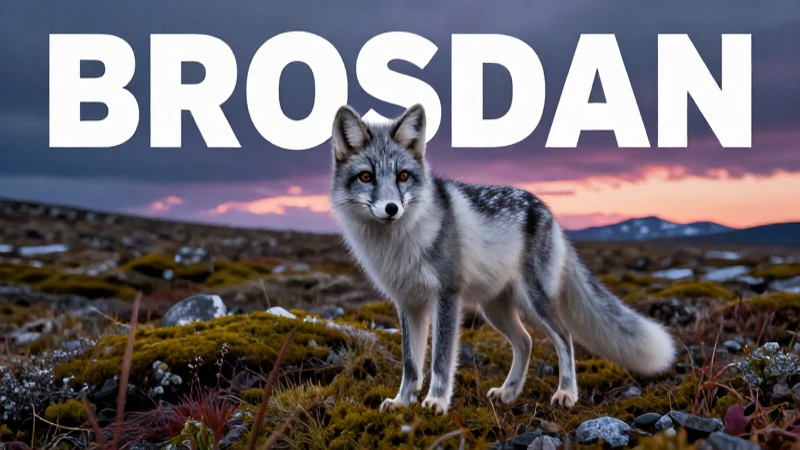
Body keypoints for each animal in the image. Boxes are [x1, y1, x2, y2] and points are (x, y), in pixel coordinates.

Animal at [328, 103, 676, 414]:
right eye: (366, 177)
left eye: (403, 176)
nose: (392, 209)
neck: (397, 243)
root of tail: (547, 211)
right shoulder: (408, 302)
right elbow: (411, 364)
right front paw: (402, 402)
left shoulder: (446, 294)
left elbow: (440, 359)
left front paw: (437, 401)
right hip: (495, 308)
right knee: (526, 342)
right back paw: (509, 392)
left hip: (534, 302)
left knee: (564, 338)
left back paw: (566, 393)